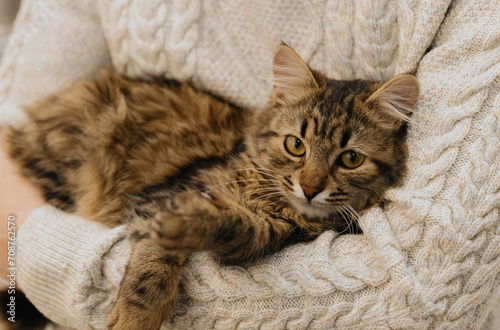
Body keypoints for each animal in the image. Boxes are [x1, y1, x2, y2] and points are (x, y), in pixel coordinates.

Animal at [3, 44, 418, 330]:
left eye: (350, 159)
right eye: (295, 145)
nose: (310, 188)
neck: (268, 199)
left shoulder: (266, 232)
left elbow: (232, 226)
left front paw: (191, 223)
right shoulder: (157, 199)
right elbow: (152, 267)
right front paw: (137, 318)